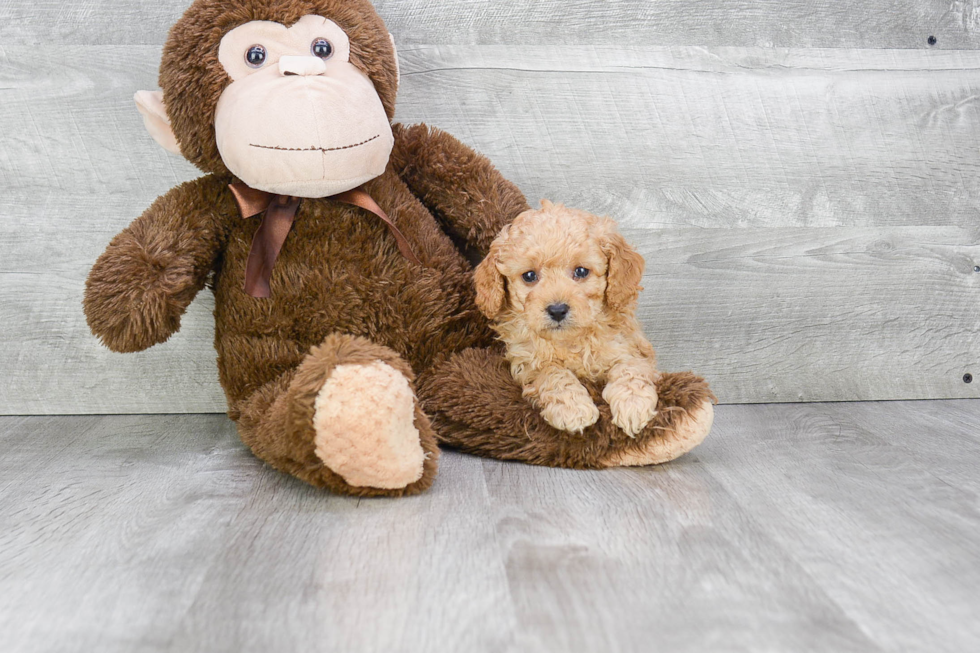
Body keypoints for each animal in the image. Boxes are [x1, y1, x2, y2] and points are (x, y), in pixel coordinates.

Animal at [472, 201, 660, 436]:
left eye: (581, 271)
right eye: (529, 276)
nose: (557, 310)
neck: (571, 340)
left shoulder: (630, 345)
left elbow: (631, 367)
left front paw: (634, 403)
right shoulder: (527, 360)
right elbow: (553, 373)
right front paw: (573, 409)